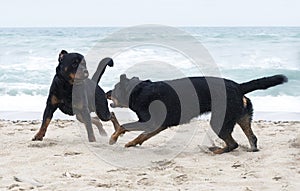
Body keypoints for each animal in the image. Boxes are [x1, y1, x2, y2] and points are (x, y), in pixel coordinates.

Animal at [106, 73, 288, 154]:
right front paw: (132, 143)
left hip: (219, 122)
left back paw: (217, 150)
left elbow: (124, 126)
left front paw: (114, 138)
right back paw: (249, 149)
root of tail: (239, 86)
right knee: (252, 138)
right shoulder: (159, 125)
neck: (138, 90)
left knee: (233, 144)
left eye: (114, 89)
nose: (106, 92)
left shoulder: (151, 122)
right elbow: (143, 135)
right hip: (242, 117)